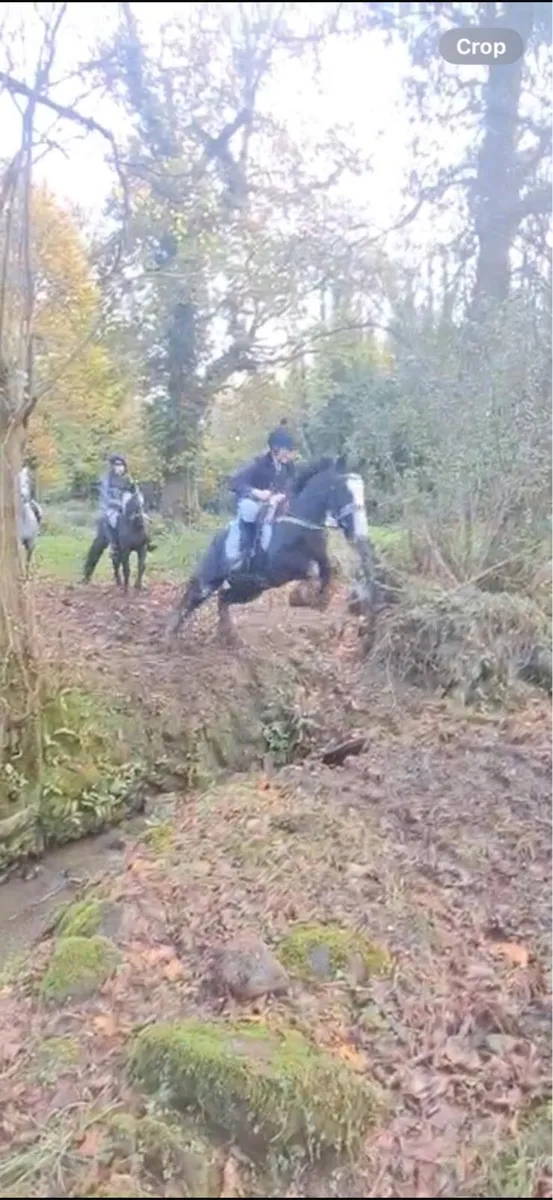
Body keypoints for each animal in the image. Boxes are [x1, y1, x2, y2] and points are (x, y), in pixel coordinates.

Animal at [169, 455, 375, 641]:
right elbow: (312, 570)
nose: (360, 535)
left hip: (249, 589)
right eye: (343, 490)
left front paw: (321, 601)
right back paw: (170, 635)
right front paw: (300, 597)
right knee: (191, 599)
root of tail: (215, 541)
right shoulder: (283, 566)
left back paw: (227, 634)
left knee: (223, 598)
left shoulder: (320, 558)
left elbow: (327, 570)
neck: (299, 524)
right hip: (210, 580)